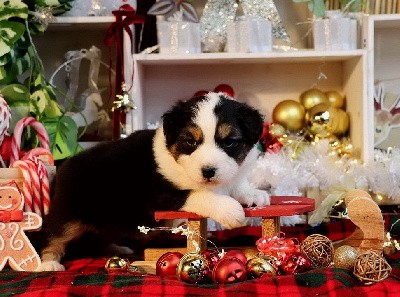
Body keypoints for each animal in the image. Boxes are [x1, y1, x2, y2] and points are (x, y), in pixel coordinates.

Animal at [38, 92, 268, 270]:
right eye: (190, 141)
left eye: (229, 142)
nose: (208, 171)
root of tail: (61, 167)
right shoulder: (160, 195)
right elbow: (197, 194)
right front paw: (230, 210)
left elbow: (235, 184)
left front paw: (254, 194)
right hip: (67, 214)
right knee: (53, 236)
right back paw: (48, 264)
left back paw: (117, 248)